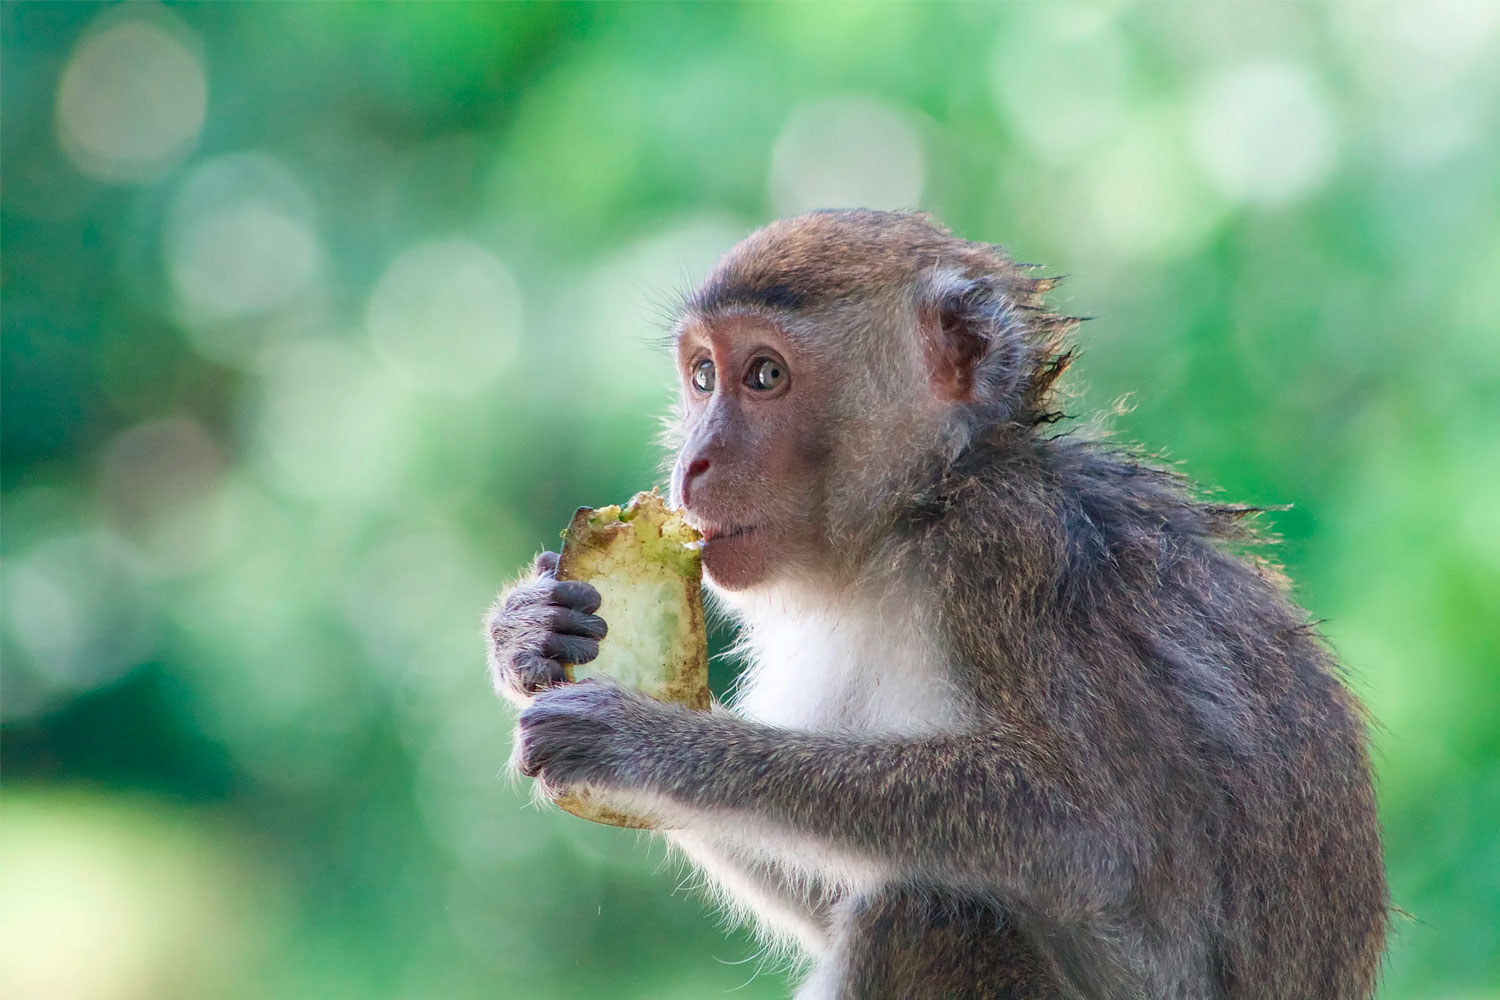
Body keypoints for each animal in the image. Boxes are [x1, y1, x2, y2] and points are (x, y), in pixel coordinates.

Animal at [486, 211, 1386, 1000]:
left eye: (765, 375)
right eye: (703, 375)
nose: (692, 463)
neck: (919, 513)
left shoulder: (1004, 554)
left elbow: (1087, 835)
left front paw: (646, 744)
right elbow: (825, 894)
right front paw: (529, 633)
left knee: (924, 912)